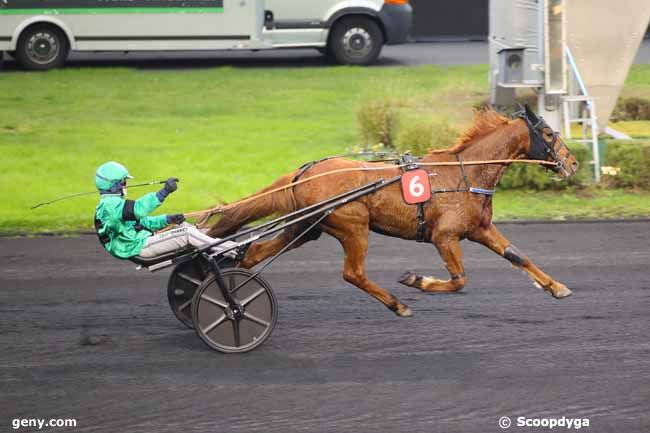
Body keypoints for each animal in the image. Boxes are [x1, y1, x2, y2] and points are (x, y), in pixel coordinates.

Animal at [205, 107, 576, 318]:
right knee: (353, 273)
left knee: (253, 254)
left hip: (306, 228)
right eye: (547, 133)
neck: (465, 173)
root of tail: (304, 171)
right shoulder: (445, 236)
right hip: (353, 227)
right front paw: (416, 280)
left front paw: (556, 287)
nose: (572, 163)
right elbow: (459, 280)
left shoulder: (479, 228)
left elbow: (517, 256)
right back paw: (398, 304)